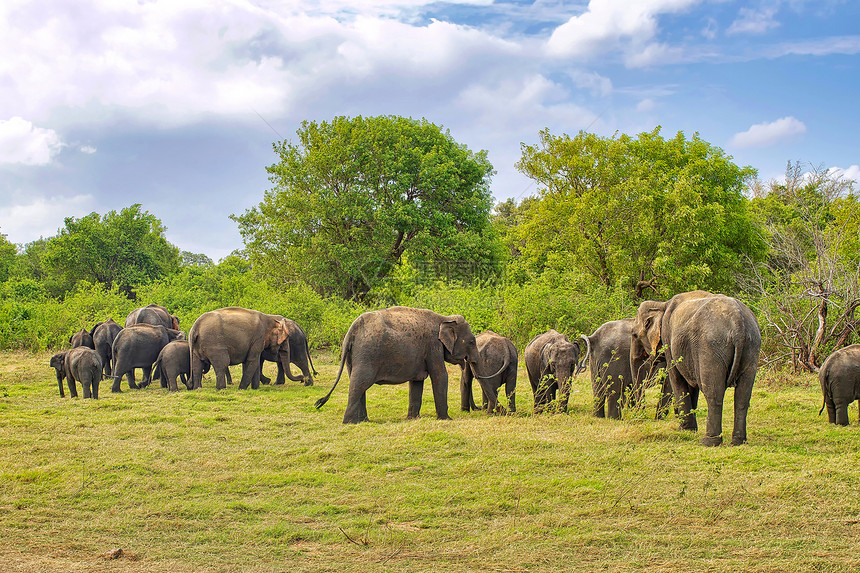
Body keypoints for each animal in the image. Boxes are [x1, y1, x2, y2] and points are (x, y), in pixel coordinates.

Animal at [314, 306, 480, 422]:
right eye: (472, 342)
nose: (476, 408)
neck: (444, 318)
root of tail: (351, 332)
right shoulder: (433, 346)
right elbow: (440, 376)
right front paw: (447, 419)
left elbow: (417, 382)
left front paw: (413, 419)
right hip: (367, 354)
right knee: (360, 383)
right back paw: (349, 422)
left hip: (353, 355)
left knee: (358, 383)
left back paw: (363, 421)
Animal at [628, 290, 764, 446]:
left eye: (634, 334)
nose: (640, 417)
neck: (662, 304)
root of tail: (738, 322)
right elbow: (691, 386)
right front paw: (691, 429)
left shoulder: (669, 338)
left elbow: (676, 379)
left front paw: (684, 429)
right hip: (752, 345)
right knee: (743, 395)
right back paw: (738, 442)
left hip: (711, 347)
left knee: (713, 392)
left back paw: (708, 441)